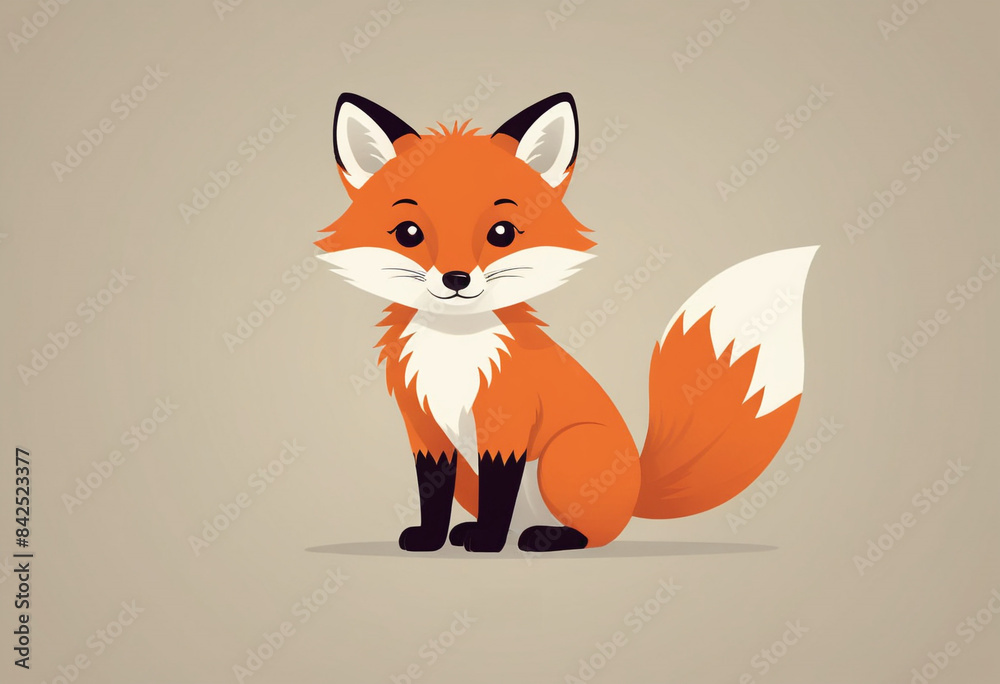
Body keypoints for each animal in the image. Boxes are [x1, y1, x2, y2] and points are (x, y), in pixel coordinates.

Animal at [316, 92, 818, 553]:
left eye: (501, 232)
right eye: (409, 233)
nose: (456, 279)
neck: (454, 350)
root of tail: (637, 486)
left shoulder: (507, 424)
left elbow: (500, 491)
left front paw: (489, 542)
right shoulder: (424, 427)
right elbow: (432, 493)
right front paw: (432, 539)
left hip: (565, 454)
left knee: (593, 534)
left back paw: (543, 537)